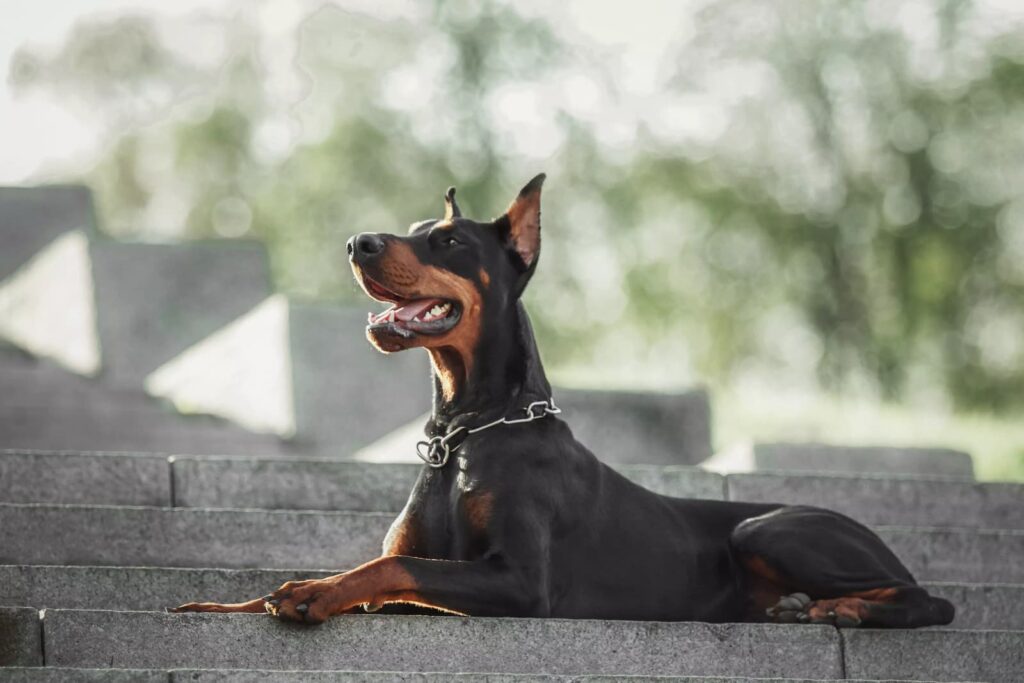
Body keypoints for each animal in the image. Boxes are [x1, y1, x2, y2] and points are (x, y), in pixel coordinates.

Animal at [174, 172, 950, 630]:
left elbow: (392, 568)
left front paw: (307, 592)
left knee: (929, 598)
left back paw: (842, 605)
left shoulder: (520, 582)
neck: (466, 431)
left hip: (768, 527)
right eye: (414, 229)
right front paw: (284, 590)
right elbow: (382, 569)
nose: (356, 242)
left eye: (448, 240)